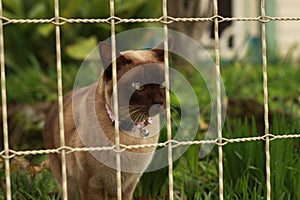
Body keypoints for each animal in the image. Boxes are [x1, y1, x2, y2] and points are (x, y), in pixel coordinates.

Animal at [43, 39, 172, 200]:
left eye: (164, 83)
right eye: (138, 86)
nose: (159, 102)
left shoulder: (128, 183)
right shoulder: (91, 184)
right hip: (68, 183)